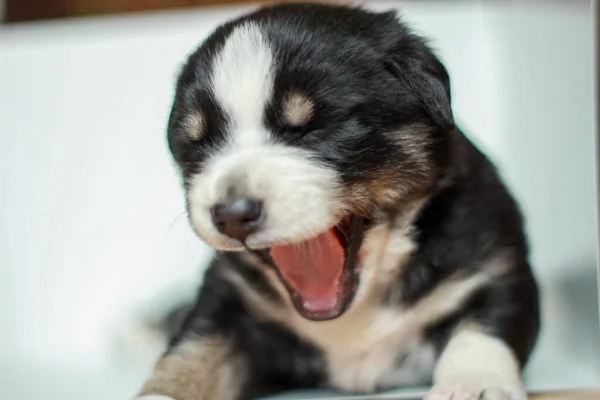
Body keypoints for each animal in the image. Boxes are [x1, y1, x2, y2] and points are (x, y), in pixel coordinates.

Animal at [136, 3, 540, 400]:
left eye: (311, 129)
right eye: (197, 143)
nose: (232, 215)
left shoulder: (494, 263)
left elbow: (483, 329)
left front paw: (472, 383)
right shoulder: (228, 294)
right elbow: (193, 347)